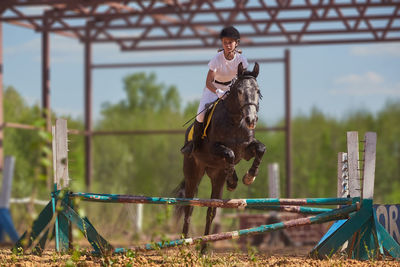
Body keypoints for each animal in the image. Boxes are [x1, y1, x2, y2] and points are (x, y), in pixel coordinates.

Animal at [174, 62, 266, 253]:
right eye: (239, 91)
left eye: (258, 90)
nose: (251, 119)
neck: (235, 119)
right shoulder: (214, 148)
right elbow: (229, 153)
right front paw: (236, 180)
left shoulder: (246, 150)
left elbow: (260, 149)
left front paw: (249, 176)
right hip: (193, 174)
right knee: (188, 208)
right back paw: (184, 244)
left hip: (216, 178)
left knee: (211, 211)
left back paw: (204, 248)